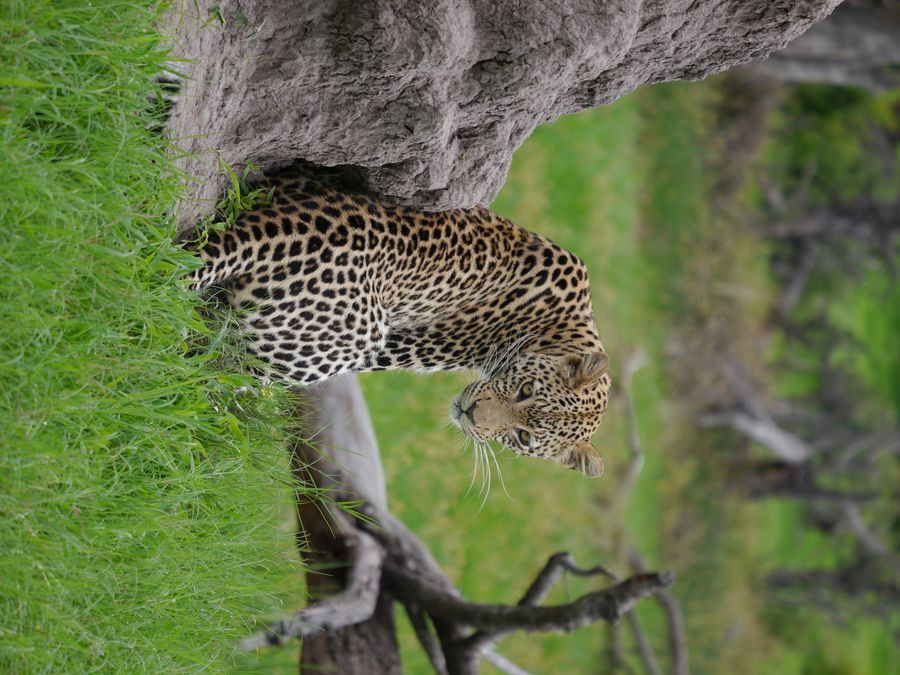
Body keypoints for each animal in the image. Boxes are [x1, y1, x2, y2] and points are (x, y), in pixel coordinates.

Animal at [190, 163, 611, 477]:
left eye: (523, 438)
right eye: (524, 391)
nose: (472, 414)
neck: (563, 327)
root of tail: (295, 230)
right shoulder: (408, 346)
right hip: (353, 337)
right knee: (212, 370)